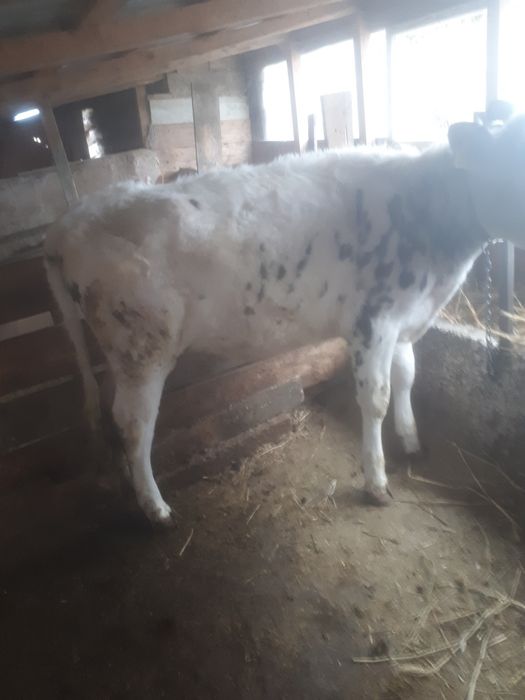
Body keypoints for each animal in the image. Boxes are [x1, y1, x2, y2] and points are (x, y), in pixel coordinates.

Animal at [44, 117, 525, 524]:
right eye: (505, 163)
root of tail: (71, 221)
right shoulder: (373, 322)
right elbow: (376, 399)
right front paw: (376, 482)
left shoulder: (408, 317)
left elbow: (407, 376)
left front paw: (411, 441)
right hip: (141, 347)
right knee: (134, 421)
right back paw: (155, 506)